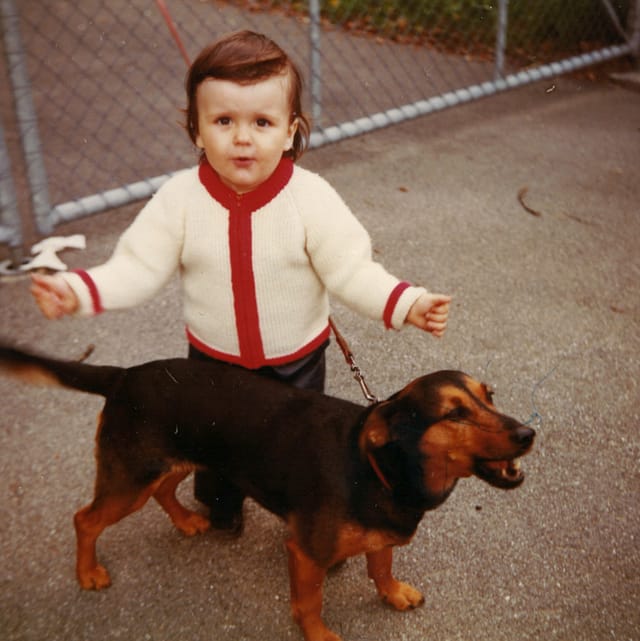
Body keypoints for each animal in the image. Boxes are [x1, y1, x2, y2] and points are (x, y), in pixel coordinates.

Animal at [0, 344, 536, 640]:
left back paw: (186, 520)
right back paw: (87, 573)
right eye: (454, 414)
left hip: (176, 461)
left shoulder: (380, 534)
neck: (375, 466)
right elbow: (310, 605)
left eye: (489, 396)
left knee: (164, 490)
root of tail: (124, 374)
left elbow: (380, 566)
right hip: (129, 480)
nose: (528, 434)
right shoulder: (304, 553)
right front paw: (319, 636)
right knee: (85, 519)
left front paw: (393, 593)